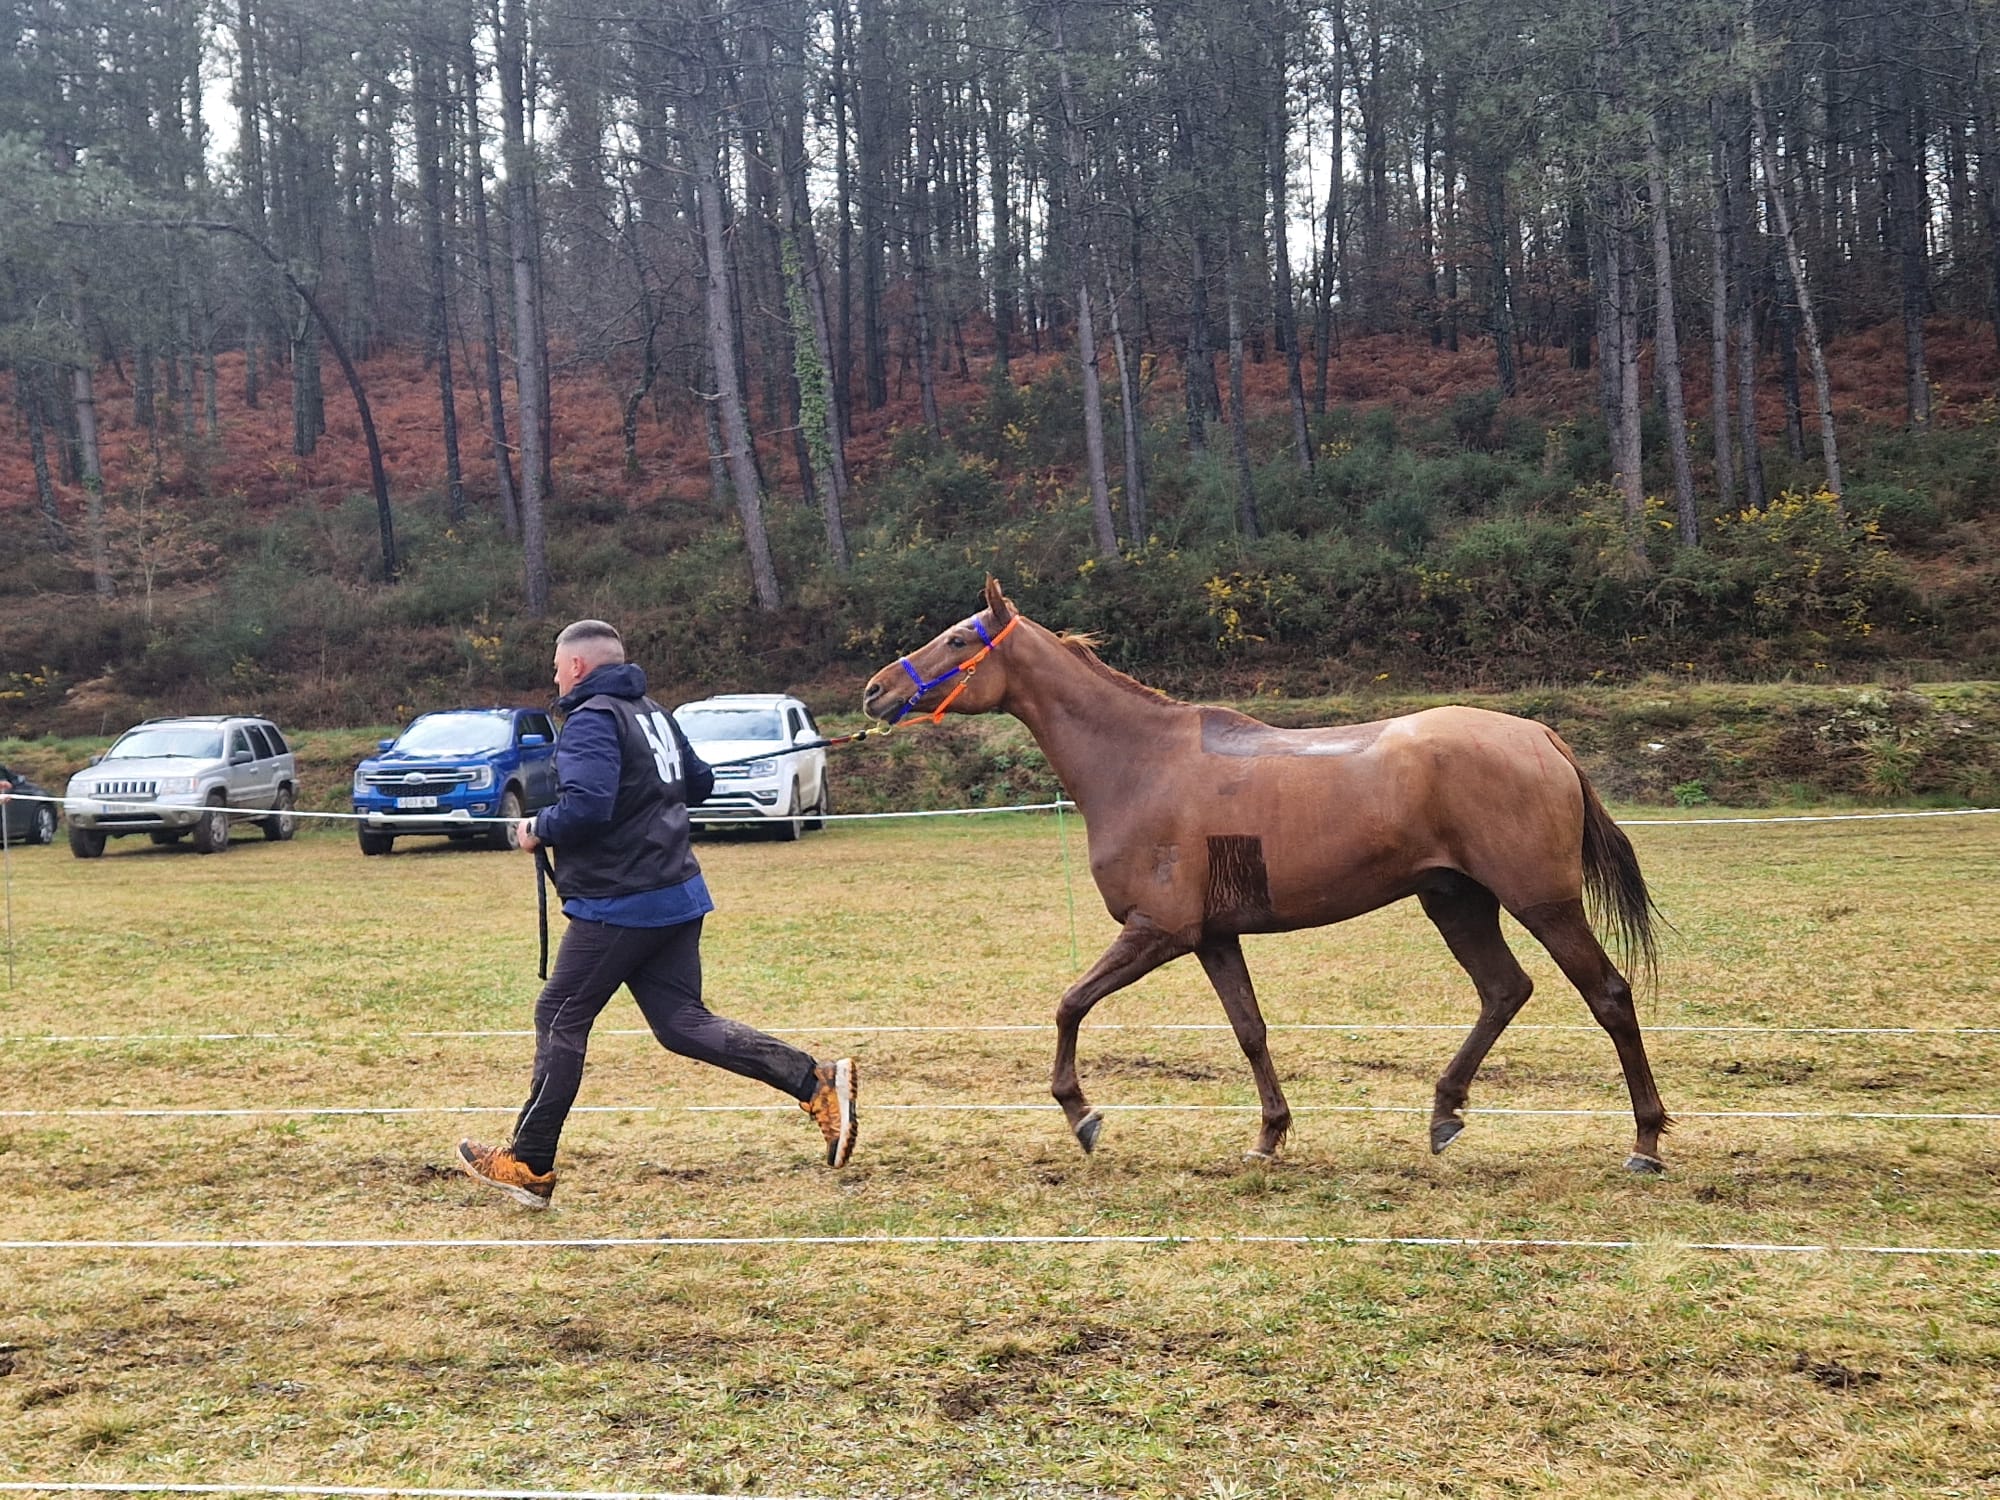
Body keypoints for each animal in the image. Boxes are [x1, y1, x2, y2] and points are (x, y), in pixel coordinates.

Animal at [864, 580, 1672, 1184]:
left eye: (959, 640)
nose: (876, 691)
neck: (1141, 762)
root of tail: (1540, 735)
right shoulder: (1213, 938)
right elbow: (1249, 1030)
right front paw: (1269, 1136)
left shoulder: (1158, 930)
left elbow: (1069, 1005)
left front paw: (1081, 1113)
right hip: (1455, 902)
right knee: (1505, 990)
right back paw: (1445, 1113)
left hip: (1541, 903)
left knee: (1607, 996)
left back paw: (1644, 1142)